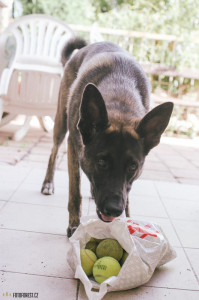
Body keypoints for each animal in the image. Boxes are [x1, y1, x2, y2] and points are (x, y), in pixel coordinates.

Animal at [41, 37, 173, 237]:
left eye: (133, 166)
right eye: (102, 162)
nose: (114, 209)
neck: (120, 101)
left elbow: (127, 195)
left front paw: (127, 221)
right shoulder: (73, 145)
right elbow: (75, 191)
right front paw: (75, 224)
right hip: (61, 124)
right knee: (53, 151)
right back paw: (48, 183)